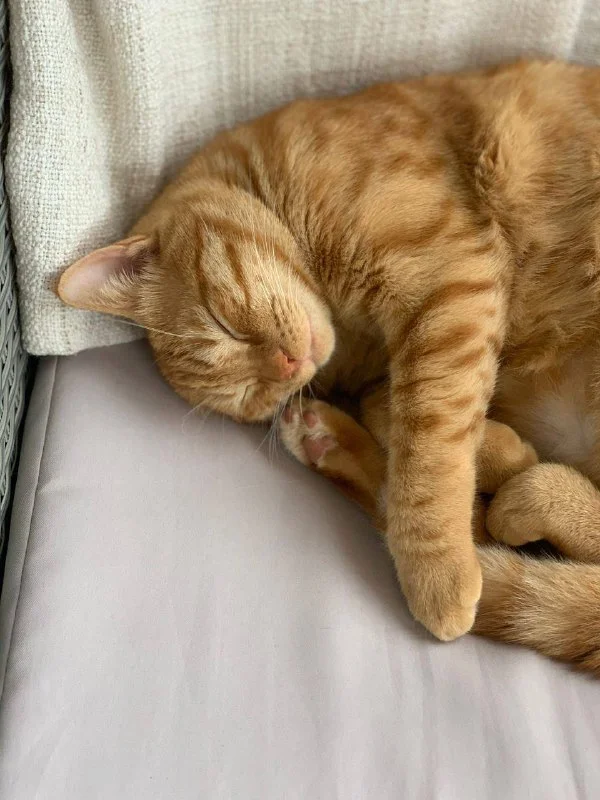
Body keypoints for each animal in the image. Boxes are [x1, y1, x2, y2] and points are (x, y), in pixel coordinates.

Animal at [58, 59, 600, 674]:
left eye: (225, 323)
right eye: (253, 398)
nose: (290, 366)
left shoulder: (450, 285)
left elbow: (429, 440)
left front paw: (437, 567)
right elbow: (402, 411)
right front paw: (498, 450)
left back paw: (529, 497)